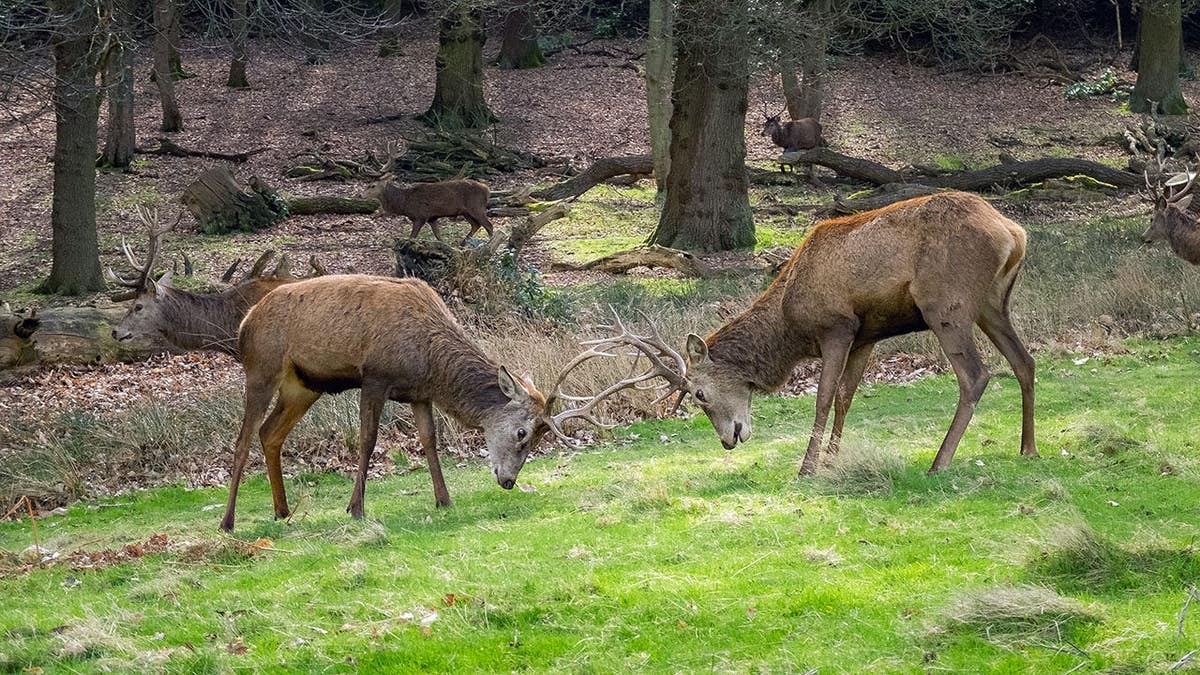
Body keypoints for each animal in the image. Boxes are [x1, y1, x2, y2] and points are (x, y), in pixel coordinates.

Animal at [220, 274, 556, 532]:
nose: (509, 481)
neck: (431, 364)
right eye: (522, 433)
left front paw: (444, 499)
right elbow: (367, 439)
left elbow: (429, 440)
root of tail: (244, 325)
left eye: (539, 437)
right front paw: (355, 508)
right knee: (242, 441)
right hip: (262, 369)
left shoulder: (419, 394)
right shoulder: (375, 377)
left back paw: (282, 510)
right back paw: (228, 521)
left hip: (303, 386)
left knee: (270, 433)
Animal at [364, 175, 494, 246]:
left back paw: (490, 246)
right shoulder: (432, 218)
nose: (361, 195)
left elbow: (412, 237)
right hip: (466, 212)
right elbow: (438, 236)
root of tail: (487, 190)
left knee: (489, 225)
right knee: (476, 225)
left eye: (373, 185)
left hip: (476, 207)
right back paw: (462, 243)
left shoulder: (420, 216)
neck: (405, 203)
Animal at [557, 192, 1037, 476]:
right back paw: (1027, 449)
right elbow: (845, 397)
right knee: (1024, 361)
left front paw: (807, 466)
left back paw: (940, 462)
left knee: (976, 375)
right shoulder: (867, 335)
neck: (789, 326)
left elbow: (823, 398)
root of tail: (1014, 232)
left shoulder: (837, 327)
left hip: (946, 305)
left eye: (699, 394)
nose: (728, 440)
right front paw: (832, 460)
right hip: (993, 303)